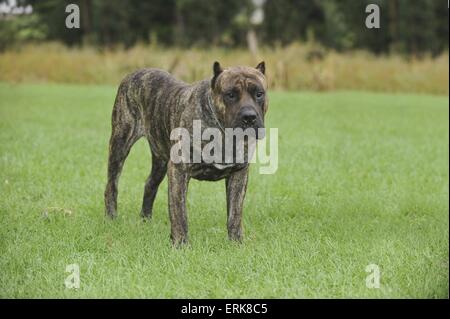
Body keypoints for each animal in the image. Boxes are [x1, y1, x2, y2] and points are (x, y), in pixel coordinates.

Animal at [103, 62, 268, 248]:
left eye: (259, 93)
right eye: (230, 94)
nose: (249, 117)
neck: (221, 132)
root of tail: (136, 72)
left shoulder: (238, 174)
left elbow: (235, 213)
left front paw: (236, 243)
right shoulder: (179, 170)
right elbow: (179, 212)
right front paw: (181, 244)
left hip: (160, 159)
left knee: (150, 184)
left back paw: (146, 220)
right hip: (120, 145)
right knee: (112, 185)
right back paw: (111, 218)